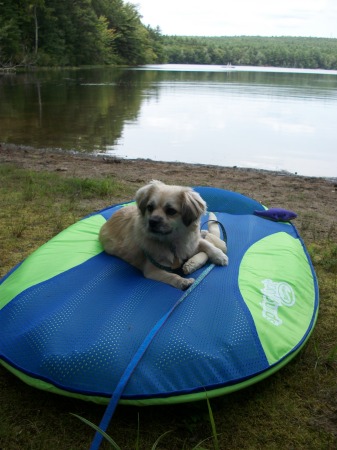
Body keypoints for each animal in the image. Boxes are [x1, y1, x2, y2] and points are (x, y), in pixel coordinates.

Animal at [98, 180, 227, 290]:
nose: (152, 221)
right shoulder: (152, 270)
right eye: (150, 207)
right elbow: (171, 276)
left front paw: (219, 256)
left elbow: (206, 244)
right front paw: (183, 282)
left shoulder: (191, 244)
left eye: (171, 211)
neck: (172, 241)